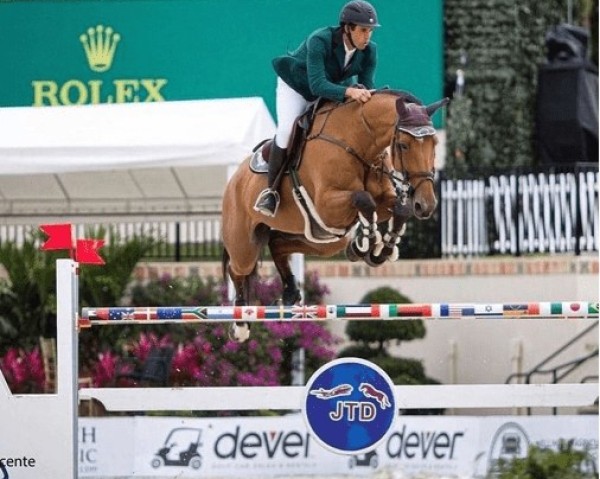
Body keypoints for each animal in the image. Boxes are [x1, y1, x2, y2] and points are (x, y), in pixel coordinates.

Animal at [220, 91, 446, 342]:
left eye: (435, 144)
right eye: (404, 145)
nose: (426, 205)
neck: (358, 142)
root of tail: (234, 179)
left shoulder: (380, 202)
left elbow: (399, 209)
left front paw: (381, 250)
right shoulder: (327, 206)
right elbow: (363, 199)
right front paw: (365, 243)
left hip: (323, 240)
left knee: (277, 244)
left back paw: (290, 292)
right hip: (244, 245)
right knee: (237, 269)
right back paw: (240, 324)